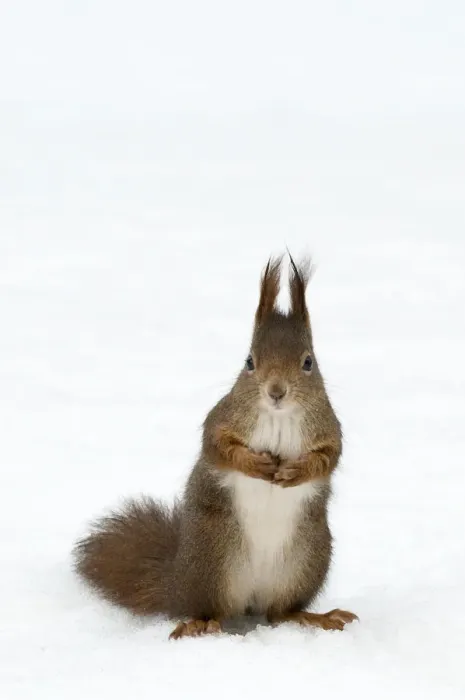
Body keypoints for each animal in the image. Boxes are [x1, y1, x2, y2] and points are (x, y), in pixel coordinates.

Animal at [74, 255, 358, 640]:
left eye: (308, 362)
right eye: (249, 361)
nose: (276, 391)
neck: (278, 416)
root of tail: (176, 582)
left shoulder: (329, 429)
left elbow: (328, 457)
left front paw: (295, 470)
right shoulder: (221, 419)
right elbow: (217, 446)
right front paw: (255, 464)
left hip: (306, 561)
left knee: (280, 613)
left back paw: (314, 617)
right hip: (214, 560)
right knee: (214, 609)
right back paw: (201, 624)